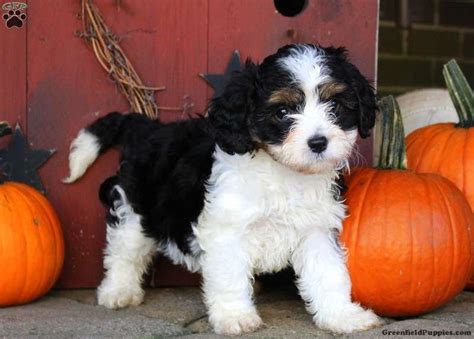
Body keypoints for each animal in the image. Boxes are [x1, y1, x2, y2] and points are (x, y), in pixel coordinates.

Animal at [64, 43, 382, 336]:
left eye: (335, 106)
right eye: (282, 112)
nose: (318, 143)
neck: (283, 172)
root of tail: (151, 129)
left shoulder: (316, 229)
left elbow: (329, 273)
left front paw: (342, 316)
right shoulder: (226, 230)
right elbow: (229, 276)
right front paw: (235, 316)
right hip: (135, 207)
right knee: (124, 250)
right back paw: (118, 291)